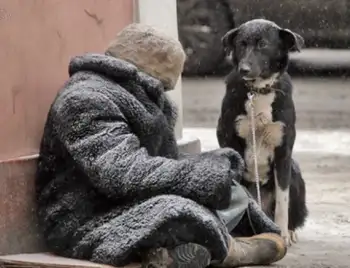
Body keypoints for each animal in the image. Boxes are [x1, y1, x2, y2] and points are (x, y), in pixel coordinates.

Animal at [217, 18, 308, 245]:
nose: (244, 69)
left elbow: (283, 201)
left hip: (294, 170)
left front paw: (281, 233)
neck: (257, 91)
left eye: (263, 45)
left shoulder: (283, 151)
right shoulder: (229, 141)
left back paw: (289, 230)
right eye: (241, 44)